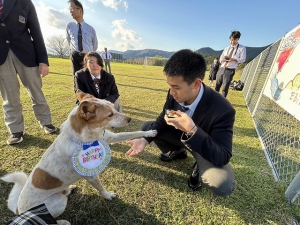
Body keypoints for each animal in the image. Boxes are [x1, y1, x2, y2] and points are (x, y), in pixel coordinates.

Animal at [0, 90, 157, 224]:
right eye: (109, 115)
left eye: (115, 108)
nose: (129, 119)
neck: (84, 138)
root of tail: (19, 210)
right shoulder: (91, 175)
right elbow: (100, 188)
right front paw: (108, 196)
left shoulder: (109, 137)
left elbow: (132, 133)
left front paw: (150, 132)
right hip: (58, 201)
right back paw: (62, 222)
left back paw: (70, 188)